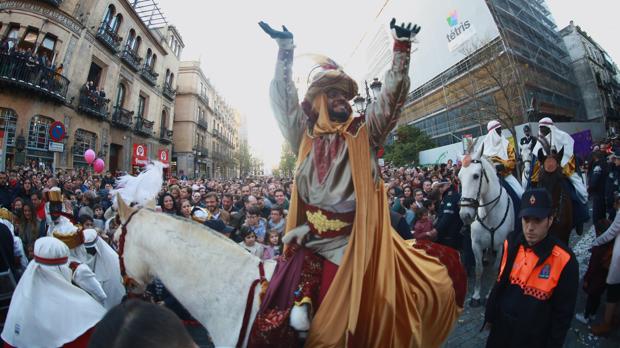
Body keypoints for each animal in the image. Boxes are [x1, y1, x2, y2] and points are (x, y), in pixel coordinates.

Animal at [458, 147, 516, 308]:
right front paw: (476, 296)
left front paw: (489, 294)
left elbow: (496, 269)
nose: (465, 215)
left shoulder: (501, 245)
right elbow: (479, 270)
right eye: (459, 178)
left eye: (476, 176)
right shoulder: (475, 244)